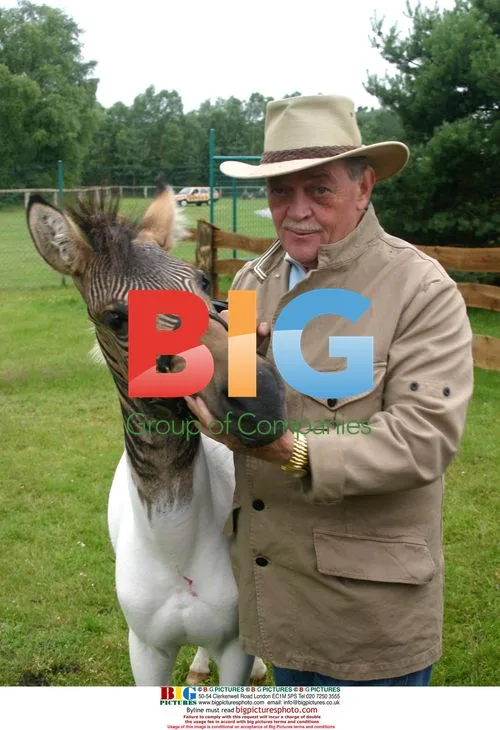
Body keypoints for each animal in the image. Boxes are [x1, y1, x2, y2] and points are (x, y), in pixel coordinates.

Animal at [26, 185, 286, 685]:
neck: (175, 548)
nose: (260, 400)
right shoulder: (145, 651)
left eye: (202, 283)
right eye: (115, 318)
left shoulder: (233, 648)